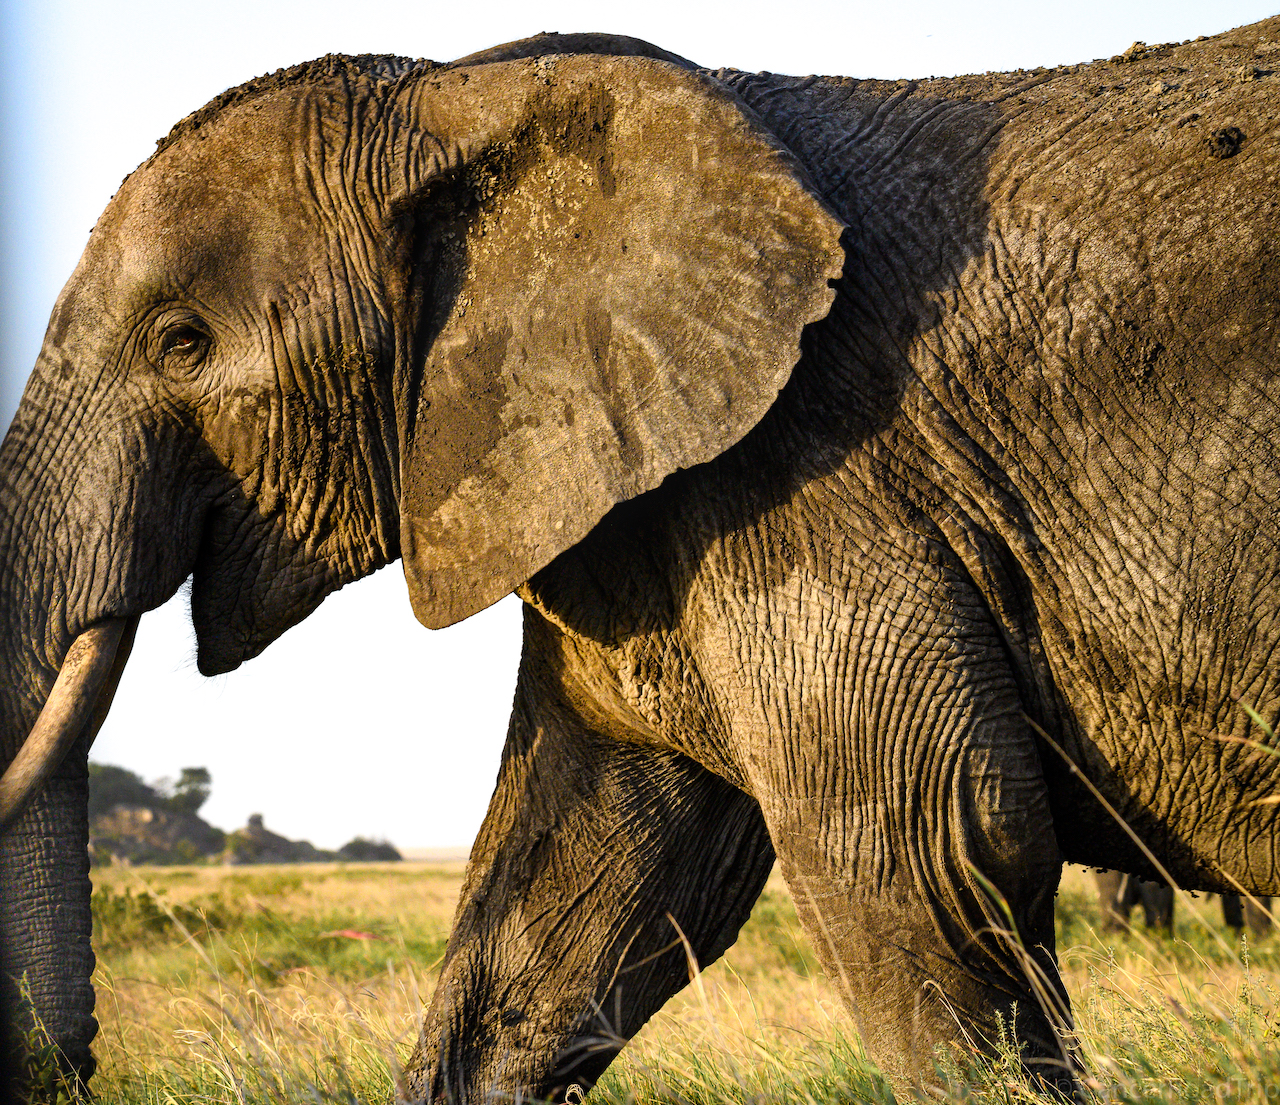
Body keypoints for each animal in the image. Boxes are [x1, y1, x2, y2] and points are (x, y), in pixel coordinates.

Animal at [2, 17, 1280, 1105]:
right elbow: (570, 900)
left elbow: (921, 857)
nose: (65, 1065)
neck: (460, 96)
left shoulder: (810, 478)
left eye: (181, 343)